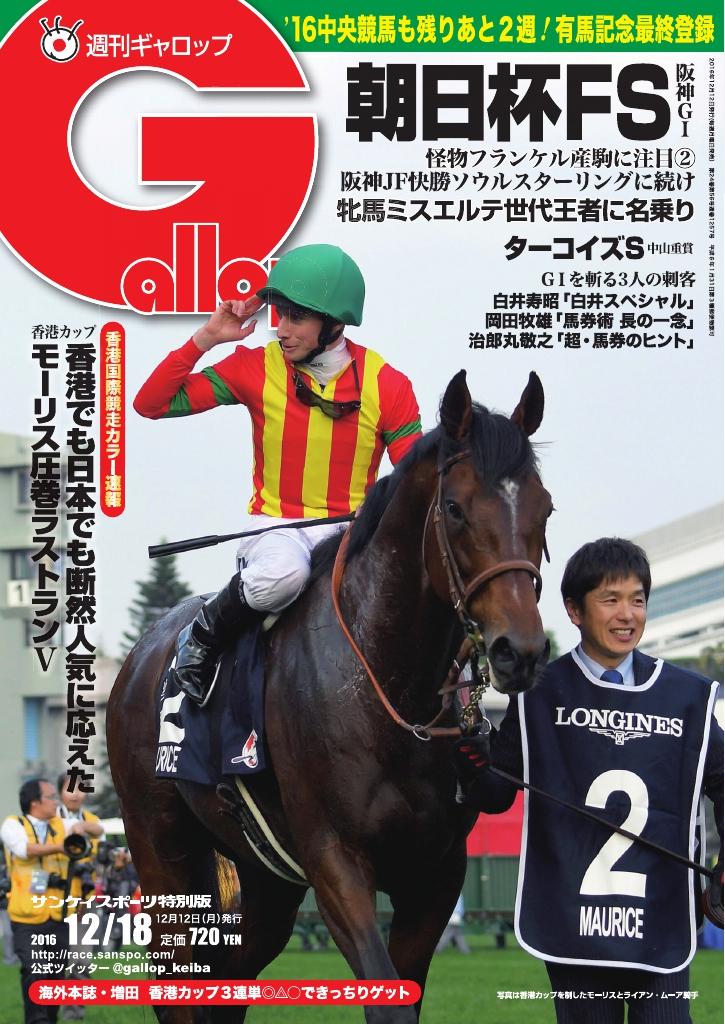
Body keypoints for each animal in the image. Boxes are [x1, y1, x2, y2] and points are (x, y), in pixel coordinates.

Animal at [106, 369, 553, 1023]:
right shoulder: (335, 860)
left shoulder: (437, 873)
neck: (386, 690)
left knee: (230, 976)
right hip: (161, 851)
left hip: (265, 873)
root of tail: (141, 655)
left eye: (544, 508)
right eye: (455, 509)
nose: (519, 651)